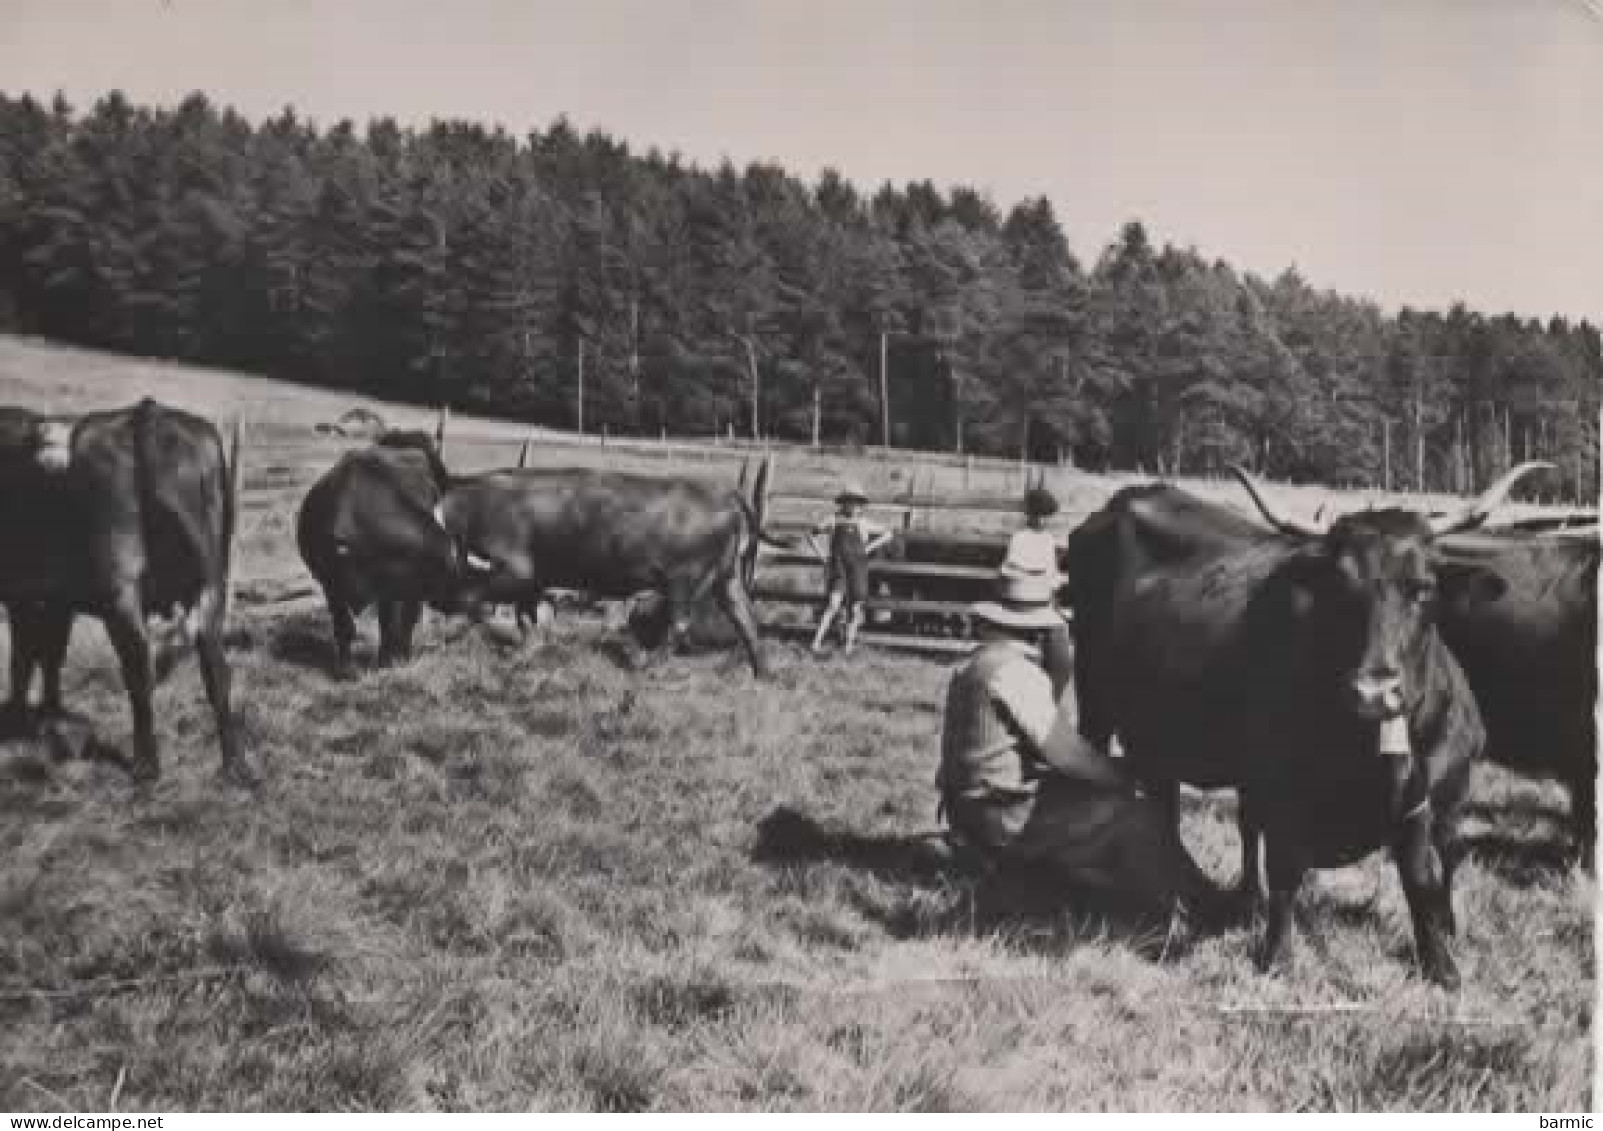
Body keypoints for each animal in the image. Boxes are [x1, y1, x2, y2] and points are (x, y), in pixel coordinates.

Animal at [0, 398, 250, 784]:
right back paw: (234, 765)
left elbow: (25, 657)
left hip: (121, 593)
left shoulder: (25, 597)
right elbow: (51, 654)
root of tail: (146, 411)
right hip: (209, 582)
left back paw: (146, 766)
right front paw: (50, 714)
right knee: (215, 669)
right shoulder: (55, 600)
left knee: (139, 669)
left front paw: (22, 719)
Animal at [432, 461, 769, 679]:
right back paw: (762, 676)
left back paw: (648, 667)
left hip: (685, 578)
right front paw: (525, 653)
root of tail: (725, 494)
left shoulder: (517, 568)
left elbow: (477, 597)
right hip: (726, 575)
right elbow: (528, 616)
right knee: (746, 617)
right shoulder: (532, 580)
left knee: (681, 623)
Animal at [1057, 461, 1545, 980]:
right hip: (1094, 702)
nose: (1374, 692)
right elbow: (1286, 869)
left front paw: (1440, 965)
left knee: (1169, 807)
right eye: (1340, 591)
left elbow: (1421, 875)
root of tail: (1127, 498)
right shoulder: (1280, 788)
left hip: (1156, 736)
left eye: (1424, 589)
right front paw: (1276, 956)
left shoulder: (1419, 795)